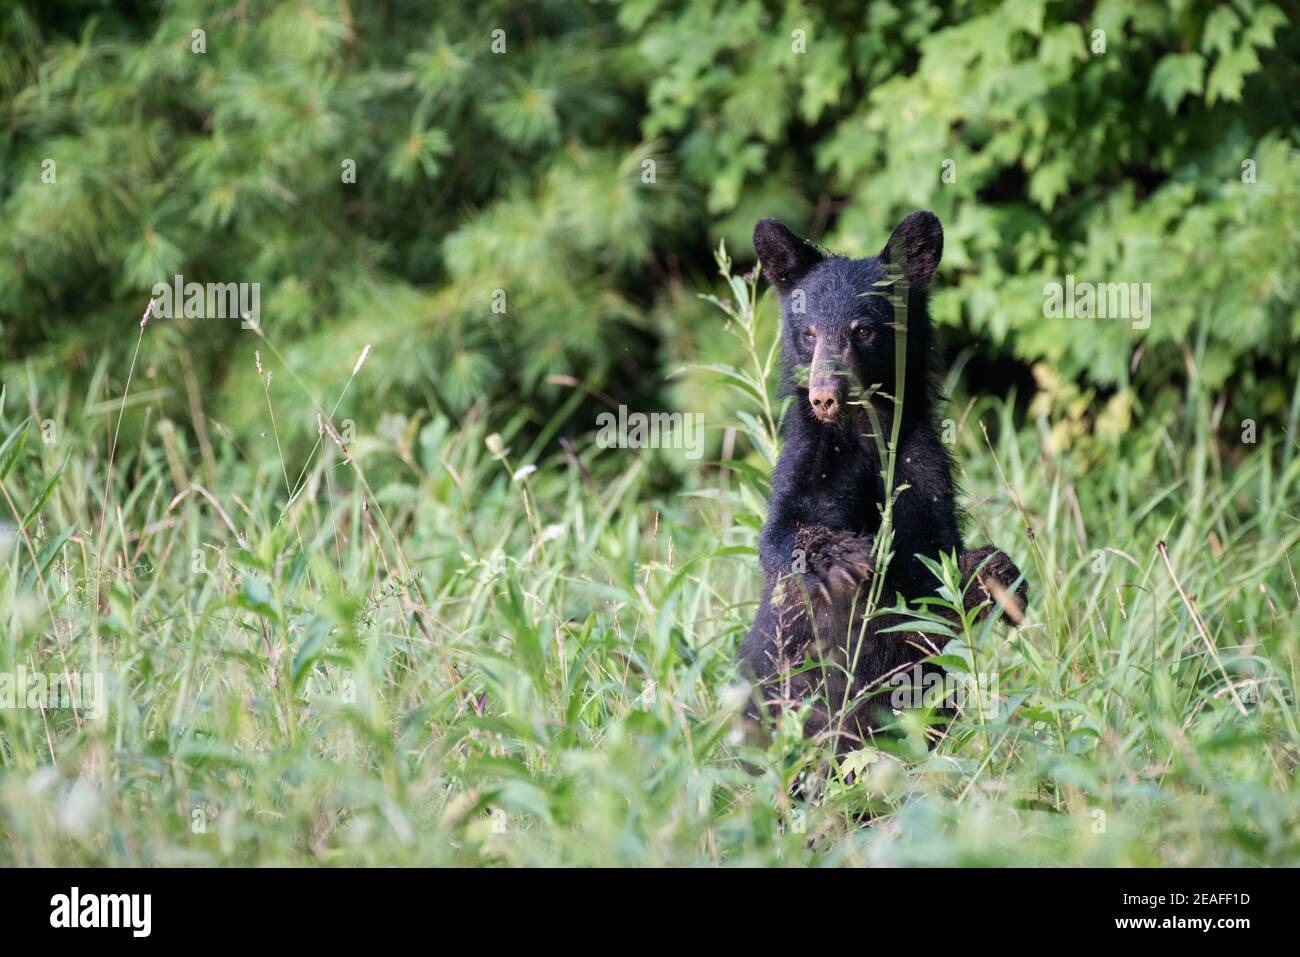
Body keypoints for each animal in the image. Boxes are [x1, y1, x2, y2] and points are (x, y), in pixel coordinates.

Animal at [737, 211, 1028, 755]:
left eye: (863, 329)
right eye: (809, 332)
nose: (825, 395)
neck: (864, 432)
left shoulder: (919, 461)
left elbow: (932, 558)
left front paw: (996, 577)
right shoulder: (808, 456)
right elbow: (782, 532)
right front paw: (840, 559)